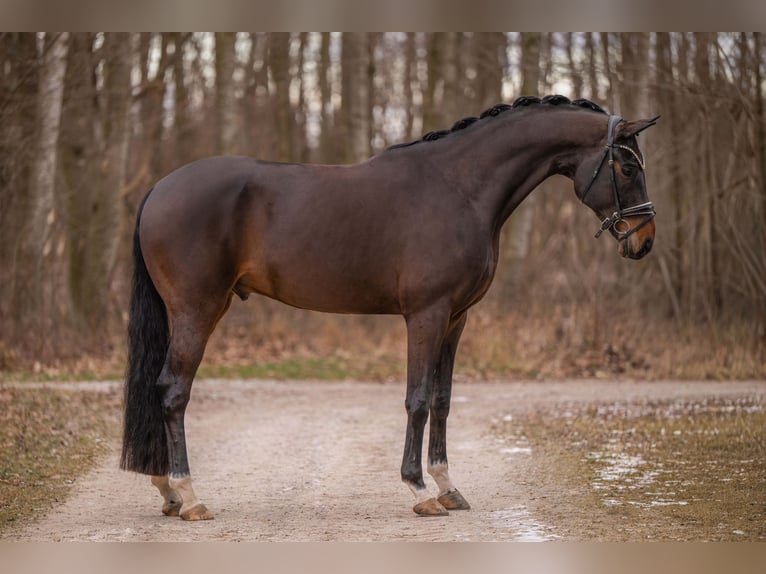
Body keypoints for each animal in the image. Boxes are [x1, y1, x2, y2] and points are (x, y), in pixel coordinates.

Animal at [120, 95, 658, 520]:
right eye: (628, 167)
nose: (645, 240)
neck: (459, 188)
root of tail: (160, 188)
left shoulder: (456, 318)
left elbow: (442, 399)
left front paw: (448, 488)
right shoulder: (426, 314)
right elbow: (416, 398)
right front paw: (419, 490)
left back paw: (168, 493)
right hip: (197, 309)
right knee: (173, 391)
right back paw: (189, 497)